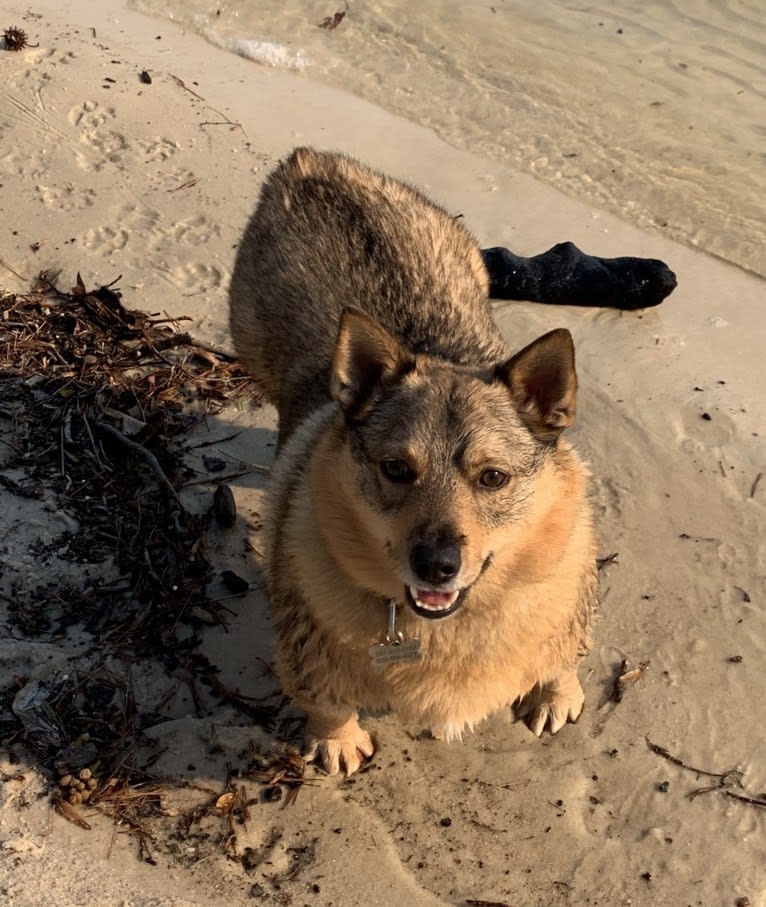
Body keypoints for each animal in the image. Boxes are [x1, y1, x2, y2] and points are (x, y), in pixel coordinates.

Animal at [228, 147, 600, 772]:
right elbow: (326, 699)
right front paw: (337, 739)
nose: (436, 566)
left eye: (493, 477)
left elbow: (563, 652)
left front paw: (557, 692)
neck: (454, 625)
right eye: (396, 469)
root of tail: (310, 161)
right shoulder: (309, 648)